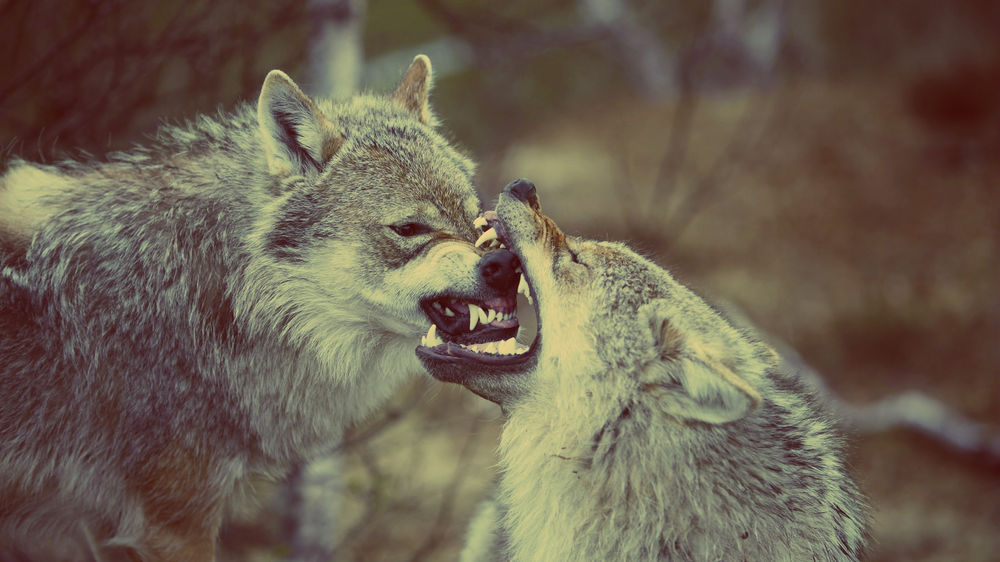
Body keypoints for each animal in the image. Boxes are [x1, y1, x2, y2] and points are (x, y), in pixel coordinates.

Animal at [0, 56, 524, 561]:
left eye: (475, 217)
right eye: (409, 228)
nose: (505, 263)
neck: (223, 295)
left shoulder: (104, 524)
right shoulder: (172, 524)